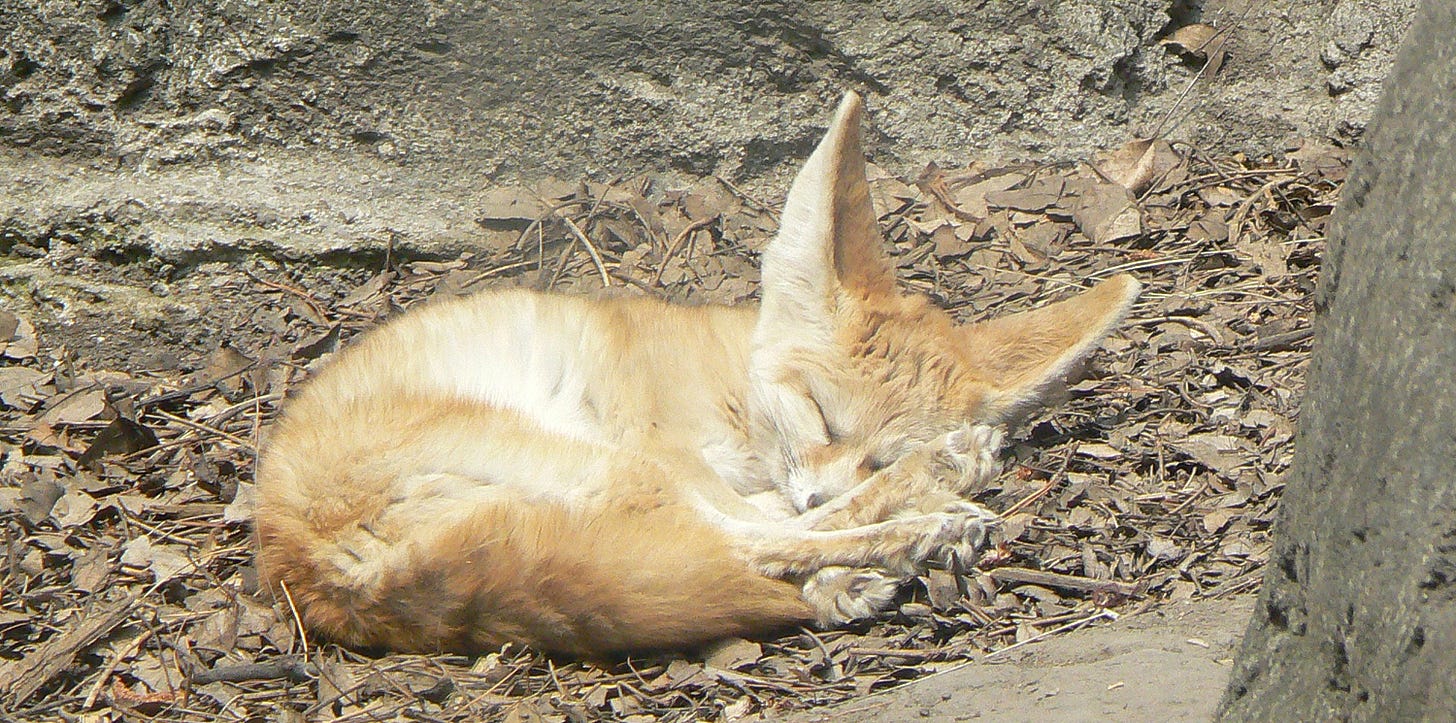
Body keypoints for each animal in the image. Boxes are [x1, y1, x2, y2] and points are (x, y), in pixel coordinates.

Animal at [256, 90, 1135, 654]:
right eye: (820, 414)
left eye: (867, 444)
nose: (820, 483)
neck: (733, 388)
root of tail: (302, 567)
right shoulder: (671, 446)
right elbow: (785, 518)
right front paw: (924, 486)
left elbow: (792, 512)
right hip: (606, 460)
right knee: (749, 540)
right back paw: (924, 522)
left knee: (737, 544)